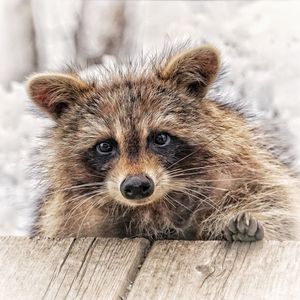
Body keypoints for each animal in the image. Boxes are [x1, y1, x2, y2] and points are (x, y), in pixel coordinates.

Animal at [27, 45, 298, 241]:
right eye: (105, 146)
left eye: (160, 138)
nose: (136, 186)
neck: (153, 209)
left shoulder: (250, 171)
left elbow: (276, 205)